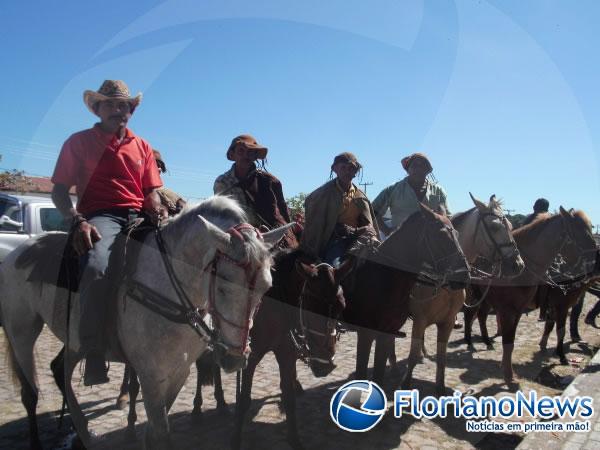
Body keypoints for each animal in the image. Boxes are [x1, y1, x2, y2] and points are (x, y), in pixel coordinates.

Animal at [0, 197, 290, 450]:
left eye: (266, 287)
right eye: (223, 285)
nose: (234, 359)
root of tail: (19, 252)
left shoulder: (179, 372)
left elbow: (153, 432)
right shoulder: (150, 377)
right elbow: (160, 434)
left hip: (73, 340)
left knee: (60, 370)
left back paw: (83, 433)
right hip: (21, 332)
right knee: (30, 392)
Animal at [462, 207, 596, 384]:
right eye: (581, 234)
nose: (596, 260)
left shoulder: (522, 309)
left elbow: (519, 338)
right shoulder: (556, 306)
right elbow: (559, 331)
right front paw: (561, 356)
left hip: (485, 299)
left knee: (481, 316)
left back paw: (486, 342)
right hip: (474, 296)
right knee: (470, 314)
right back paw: (470, 341)